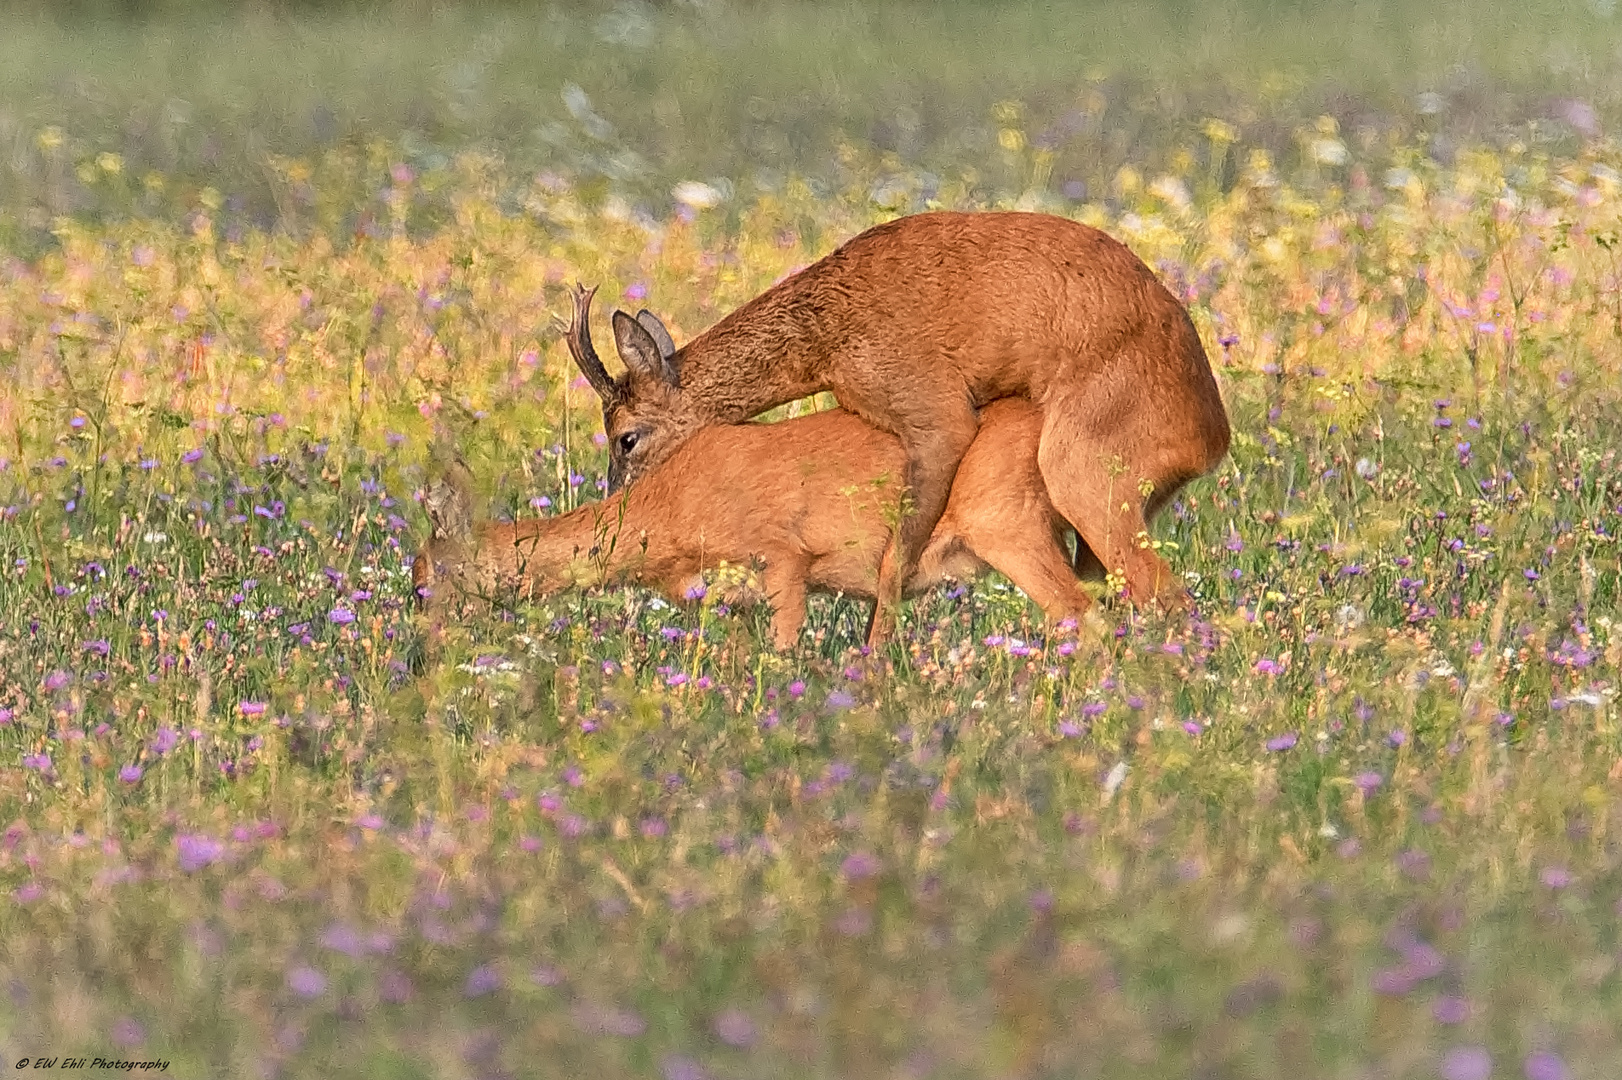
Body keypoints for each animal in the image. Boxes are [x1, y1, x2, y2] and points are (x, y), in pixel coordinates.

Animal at [567, 214, 1226, 642]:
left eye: (626, 437)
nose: (617, 516)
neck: (824, 338)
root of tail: (1212, 437)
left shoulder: (936, 411)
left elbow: (894, 561)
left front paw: (875, 664)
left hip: (1086, 471)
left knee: (1164, 599)